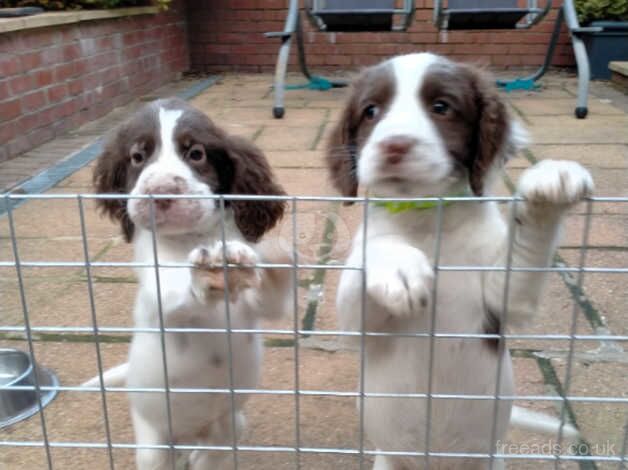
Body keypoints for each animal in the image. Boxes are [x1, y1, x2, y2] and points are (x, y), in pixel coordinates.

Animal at [90, 98, 290, 470]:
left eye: (196, 153)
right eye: (137, 157)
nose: (159, 193)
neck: (193, 238)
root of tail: (189, 434)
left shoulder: (256, 304)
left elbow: (270, 296)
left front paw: (274, 259)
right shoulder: (159, 290)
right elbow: (177, 292)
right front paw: (207, 273)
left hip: (232, 423)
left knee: (212, 449)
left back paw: (199, 456)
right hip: (153, 444)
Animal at [326, 53, 592, 468]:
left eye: (441, 107)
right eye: (370, 111)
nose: (394, 146)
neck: (426, 218)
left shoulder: (506, 299)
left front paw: (549, 183)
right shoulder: (357, 326)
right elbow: (373, 254)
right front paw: (400, 267)